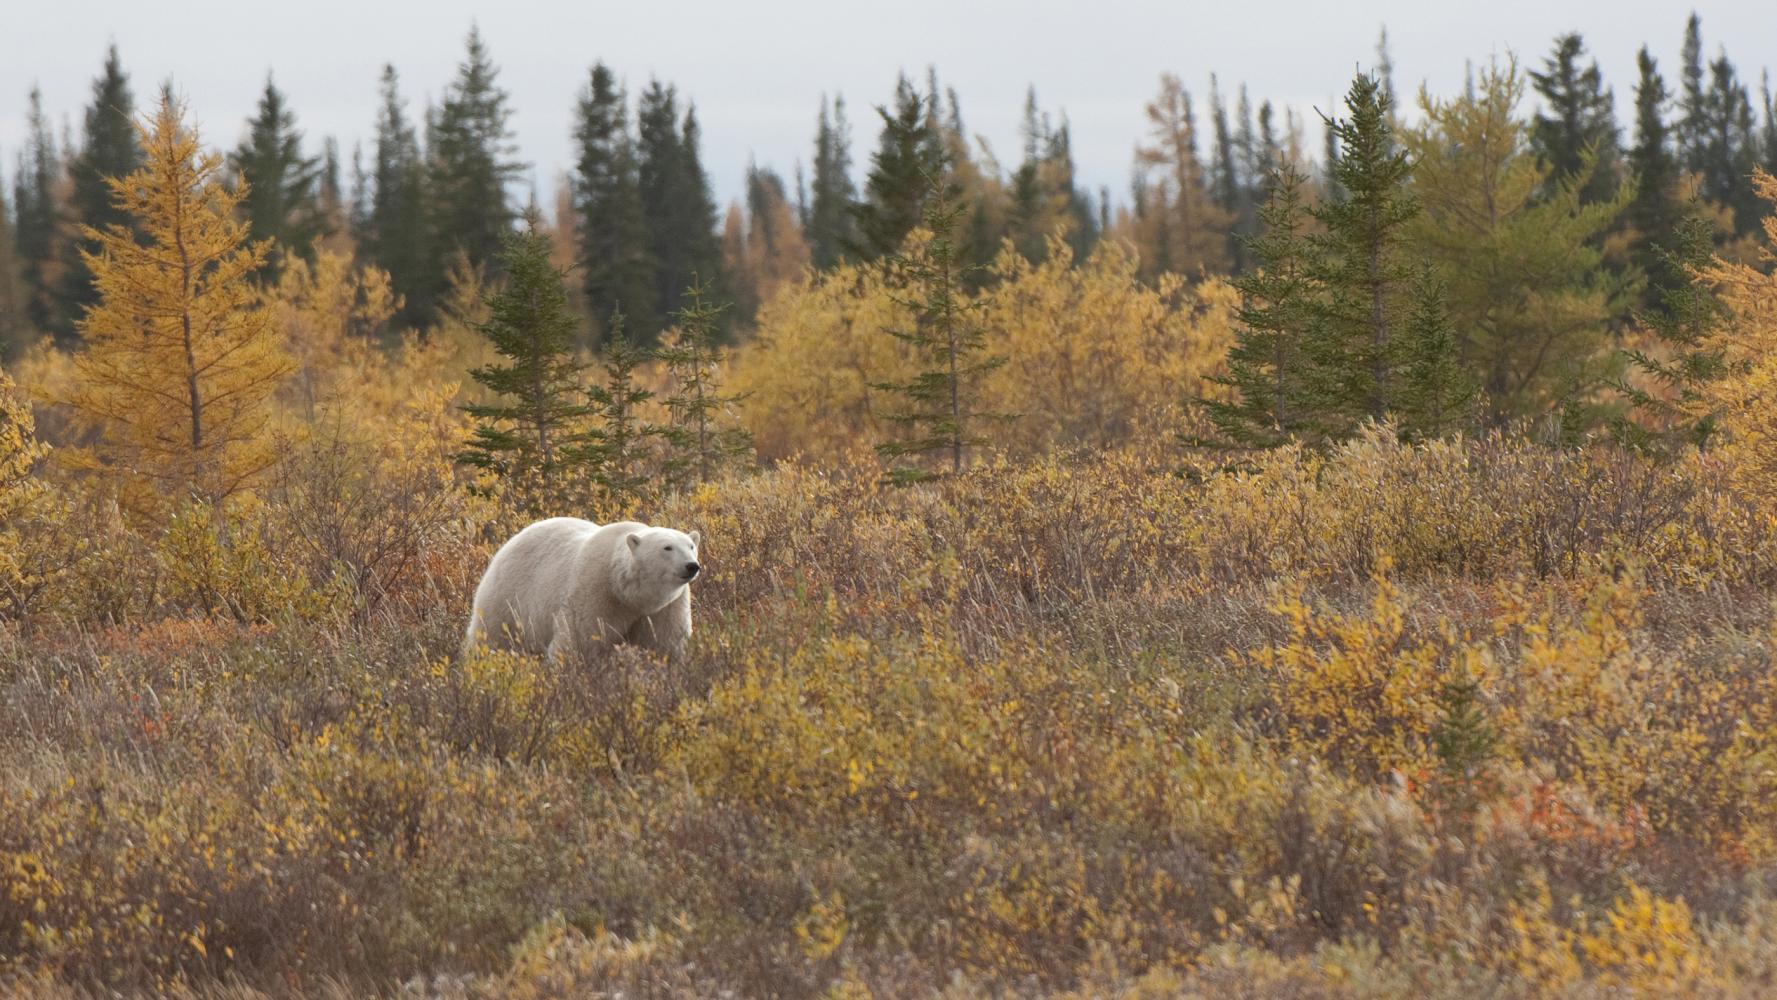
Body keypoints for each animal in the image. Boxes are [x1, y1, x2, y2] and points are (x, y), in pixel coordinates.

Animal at [463, 518, 701, 665]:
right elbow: (578, 640)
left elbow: (665, 643)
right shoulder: (595, 588)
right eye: (667, 547)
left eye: (691, 546)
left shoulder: (666, 606)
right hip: (508, 594)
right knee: (491, 636)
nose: (692, 566)